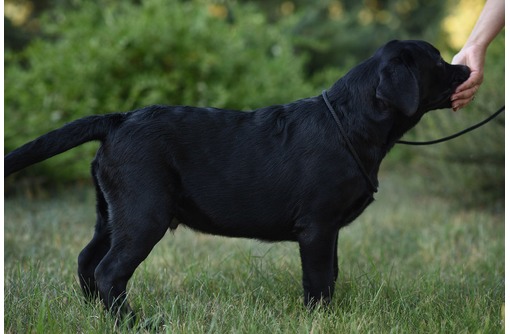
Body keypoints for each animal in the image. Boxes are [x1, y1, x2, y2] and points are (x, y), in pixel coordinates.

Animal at [3, 39, 468, 318]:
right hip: (143, 215)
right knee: (109, 270)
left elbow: (332, 275)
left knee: (87, 259)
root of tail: (117, 120)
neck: (349, 123)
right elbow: (318, 280)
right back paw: (132, 322)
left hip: (112, 214)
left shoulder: (330, 228)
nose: (466, 71)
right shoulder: (317, 227)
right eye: (436, 60)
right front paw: (318, 319)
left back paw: (93, 314)